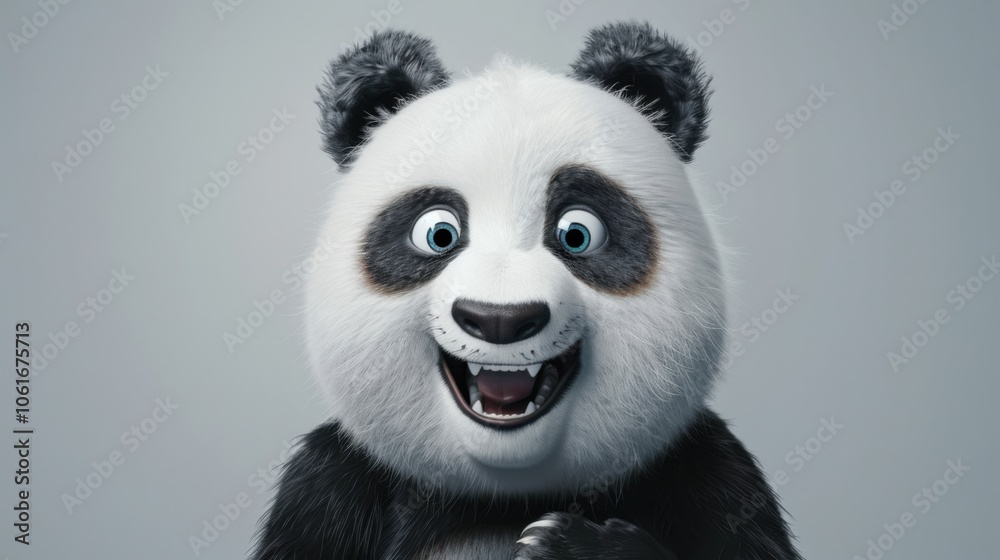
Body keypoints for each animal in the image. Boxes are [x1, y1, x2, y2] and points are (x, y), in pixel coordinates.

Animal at [251, 21, 802, 560]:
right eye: (438, 233)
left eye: (577, 233)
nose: (499, 318)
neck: (507, 490)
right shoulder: (326, 483)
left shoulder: (711, 469)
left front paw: (568, 543)